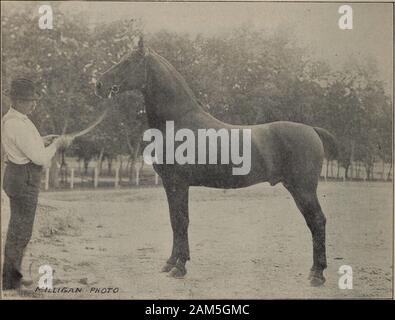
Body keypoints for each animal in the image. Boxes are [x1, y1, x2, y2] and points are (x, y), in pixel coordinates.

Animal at [96, 37, 340, 288]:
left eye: (128, 61)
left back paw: (317, 274)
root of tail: (312, 130)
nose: (99, 84)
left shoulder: (178, 184)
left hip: (303, 189)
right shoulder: (170, 184)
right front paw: (171, 263)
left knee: (317, 221)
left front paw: (179, 267)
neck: (177, 122)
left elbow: (182, 221)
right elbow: (175, 221)